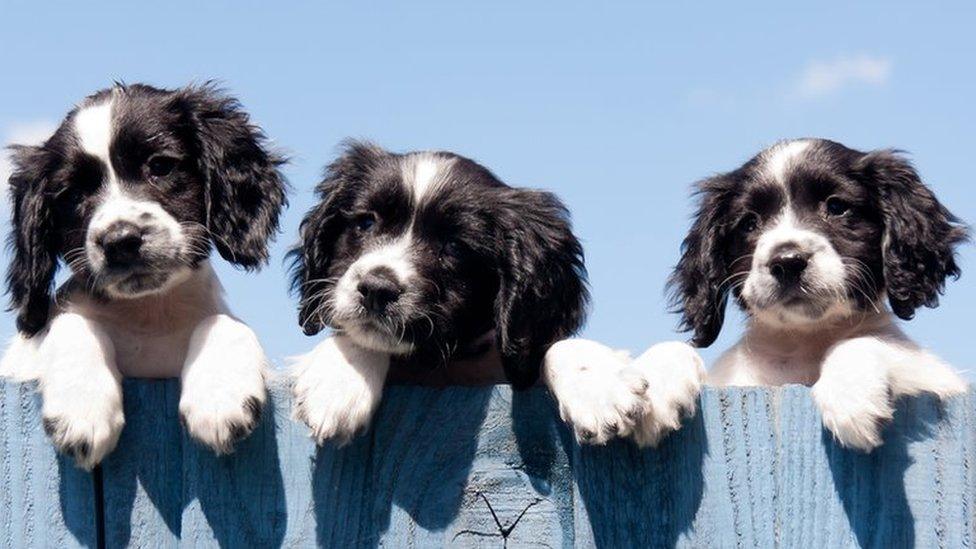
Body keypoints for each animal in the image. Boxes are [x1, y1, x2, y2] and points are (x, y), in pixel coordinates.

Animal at [0, 82, 288, 466]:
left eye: (161, 166)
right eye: (73, 194)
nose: (120, 240)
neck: (149, 315)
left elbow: (224, 321)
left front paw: (220, 398)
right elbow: (70, 322)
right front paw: (83, 408)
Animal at [672, 137, 968, 450]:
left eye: (836, 206)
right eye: (749, 223)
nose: (787, 261)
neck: (805, 340)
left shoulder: (941, 379)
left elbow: (871, 341)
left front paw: (850, 394)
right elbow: (677, 350)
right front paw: (655, 382)